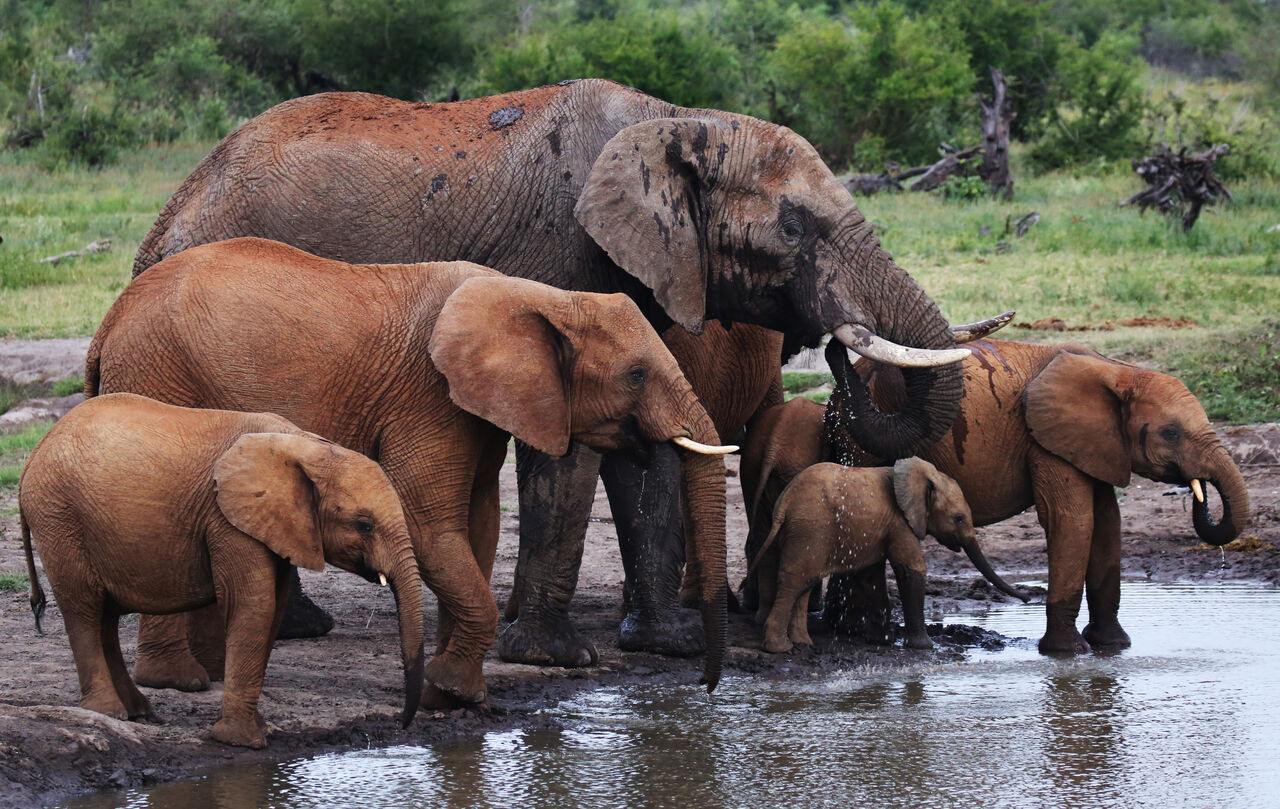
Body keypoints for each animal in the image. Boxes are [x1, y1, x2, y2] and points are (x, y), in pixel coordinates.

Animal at [18, 393, 425, 749]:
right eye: (364, 525)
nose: (403, 724)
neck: (305, 446)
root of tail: (35, 452)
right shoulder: (226, 519)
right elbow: (253, 604)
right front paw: (243, 742)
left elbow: (273, 606)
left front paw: (259, 731)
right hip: (59, 516)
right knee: (84, 607)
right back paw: (110, 713)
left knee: (105, 615)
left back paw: (138, 713)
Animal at [87, 238, 734, 701]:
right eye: (636, 376)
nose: (706, 685)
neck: (539, 297)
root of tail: (109, 321)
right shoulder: (428, 396)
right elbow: (429, 526)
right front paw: (451, 687)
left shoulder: (476, 406)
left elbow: (476, 526)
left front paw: (453, 689)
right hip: (159, 374)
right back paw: (180, 681)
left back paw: (208, 673)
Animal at [130, 79, 993, 668]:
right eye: (793, 226)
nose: (839, 347)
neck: (675, 119)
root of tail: (175, 204)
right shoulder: (559, 256)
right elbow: (569, 451)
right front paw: (555, 657)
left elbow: (651, 445)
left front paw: (669, 645)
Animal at [748, 458, 1027, 652]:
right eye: (958, 518)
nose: (1025, 598)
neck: (921, 474)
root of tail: (784, 502)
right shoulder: (900, 522)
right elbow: (911, 568)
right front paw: (923, 647)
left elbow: (871, 575)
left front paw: (882, 641)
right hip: (811, 529)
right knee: (795, 580)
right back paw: (780, 649)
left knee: (805, 581)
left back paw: (803, 644)